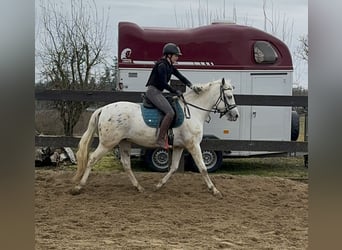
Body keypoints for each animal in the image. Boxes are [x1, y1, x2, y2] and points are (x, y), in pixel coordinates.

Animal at [71, 77, 239, 198]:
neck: (193, 111)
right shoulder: (193, 145)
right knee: (92, 159)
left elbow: (173, 168)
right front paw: (215, 190)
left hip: (124, 143)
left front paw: (158, 185)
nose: (235, 115)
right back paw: (78, 187)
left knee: (126, 164)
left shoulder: (179, 146)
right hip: (108, 143)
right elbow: (203, 168)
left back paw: (139, 187)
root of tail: (103, 109)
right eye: (229, 96)